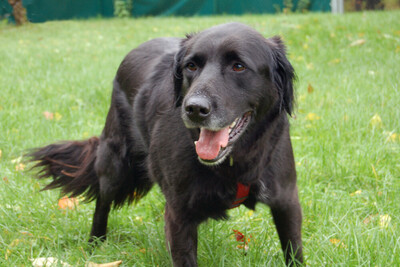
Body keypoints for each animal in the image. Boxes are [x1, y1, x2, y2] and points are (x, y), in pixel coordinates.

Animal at [28, 22, 304, 266]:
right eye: (191, 66)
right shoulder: (179, 214)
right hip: (115, 164)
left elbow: (294, 253)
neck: (234, 162)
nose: (194, 109)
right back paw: (95, 245)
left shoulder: (286, 201)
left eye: (239, 66)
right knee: (102, 202)